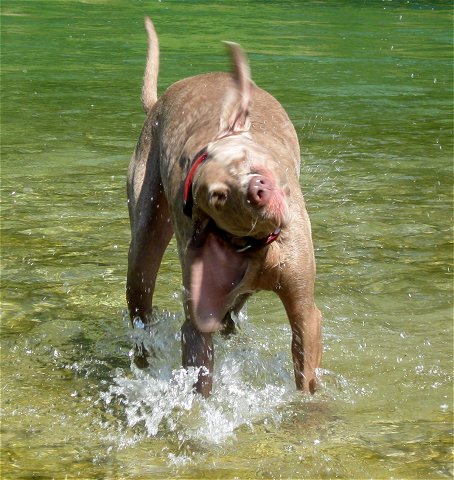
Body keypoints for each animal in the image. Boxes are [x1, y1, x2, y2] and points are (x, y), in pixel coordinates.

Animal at [126, 16, 320, 396]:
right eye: (217, 195)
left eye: (243, 158)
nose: (258, 190)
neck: (256, 245)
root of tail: (158, 102)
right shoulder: (198, 318)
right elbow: (200, 372)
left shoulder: (305, 310)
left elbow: (306, 379)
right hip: (143, 240)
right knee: (141, 305)